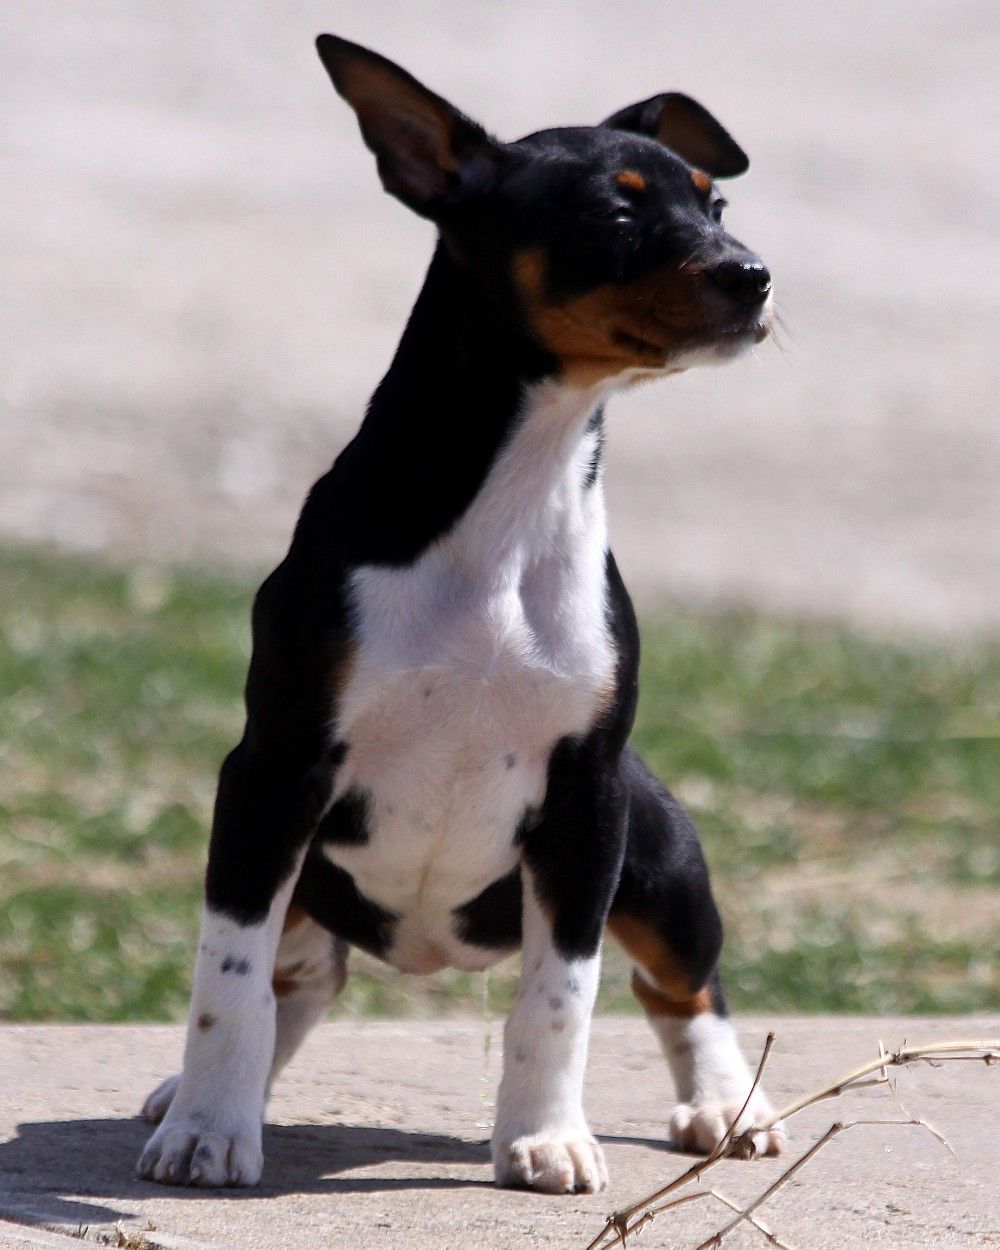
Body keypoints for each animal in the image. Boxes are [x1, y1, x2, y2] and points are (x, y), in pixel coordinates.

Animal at [136, 34, 784, 1194]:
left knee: (680, 984)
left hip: (658, 844)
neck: (508, 512)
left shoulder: (586, 796)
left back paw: (726, 1102)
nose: (753, 273)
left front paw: (544, 1135)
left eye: (715, 203)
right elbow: (228, 979)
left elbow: (560, 995)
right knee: (293, 982)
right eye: (615, 213)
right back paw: (202, 1093)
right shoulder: (270, 775)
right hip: (299, 865)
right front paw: (209, 1128)